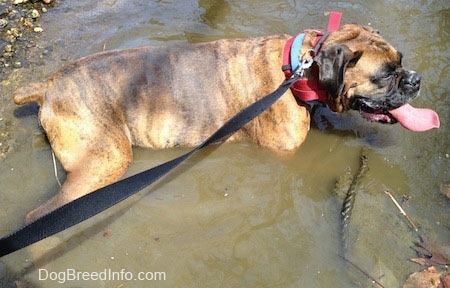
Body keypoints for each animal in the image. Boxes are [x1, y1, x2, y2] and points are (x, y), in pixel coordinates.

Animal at [14, 24, 440, 223]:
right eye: (385, 74)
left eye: (401, 61)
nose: (415, 79)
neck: (299, 69)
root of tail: (48, 84)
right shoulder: (287, 154)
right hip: (107, 159)